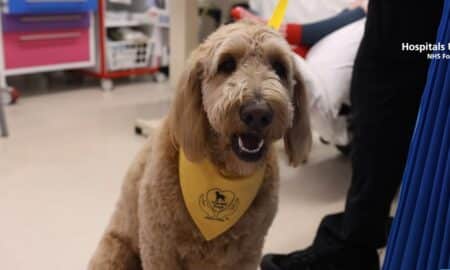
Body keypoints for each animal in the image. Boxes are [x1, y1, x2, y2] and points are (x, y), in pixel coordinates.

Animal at [89, 21, 312, 270]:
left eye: (279, 67)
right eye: (227, 64)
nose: (258, 113)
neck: (225, 170)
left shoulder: (248, 251)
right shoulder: (159, 246)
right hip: (114, 252)